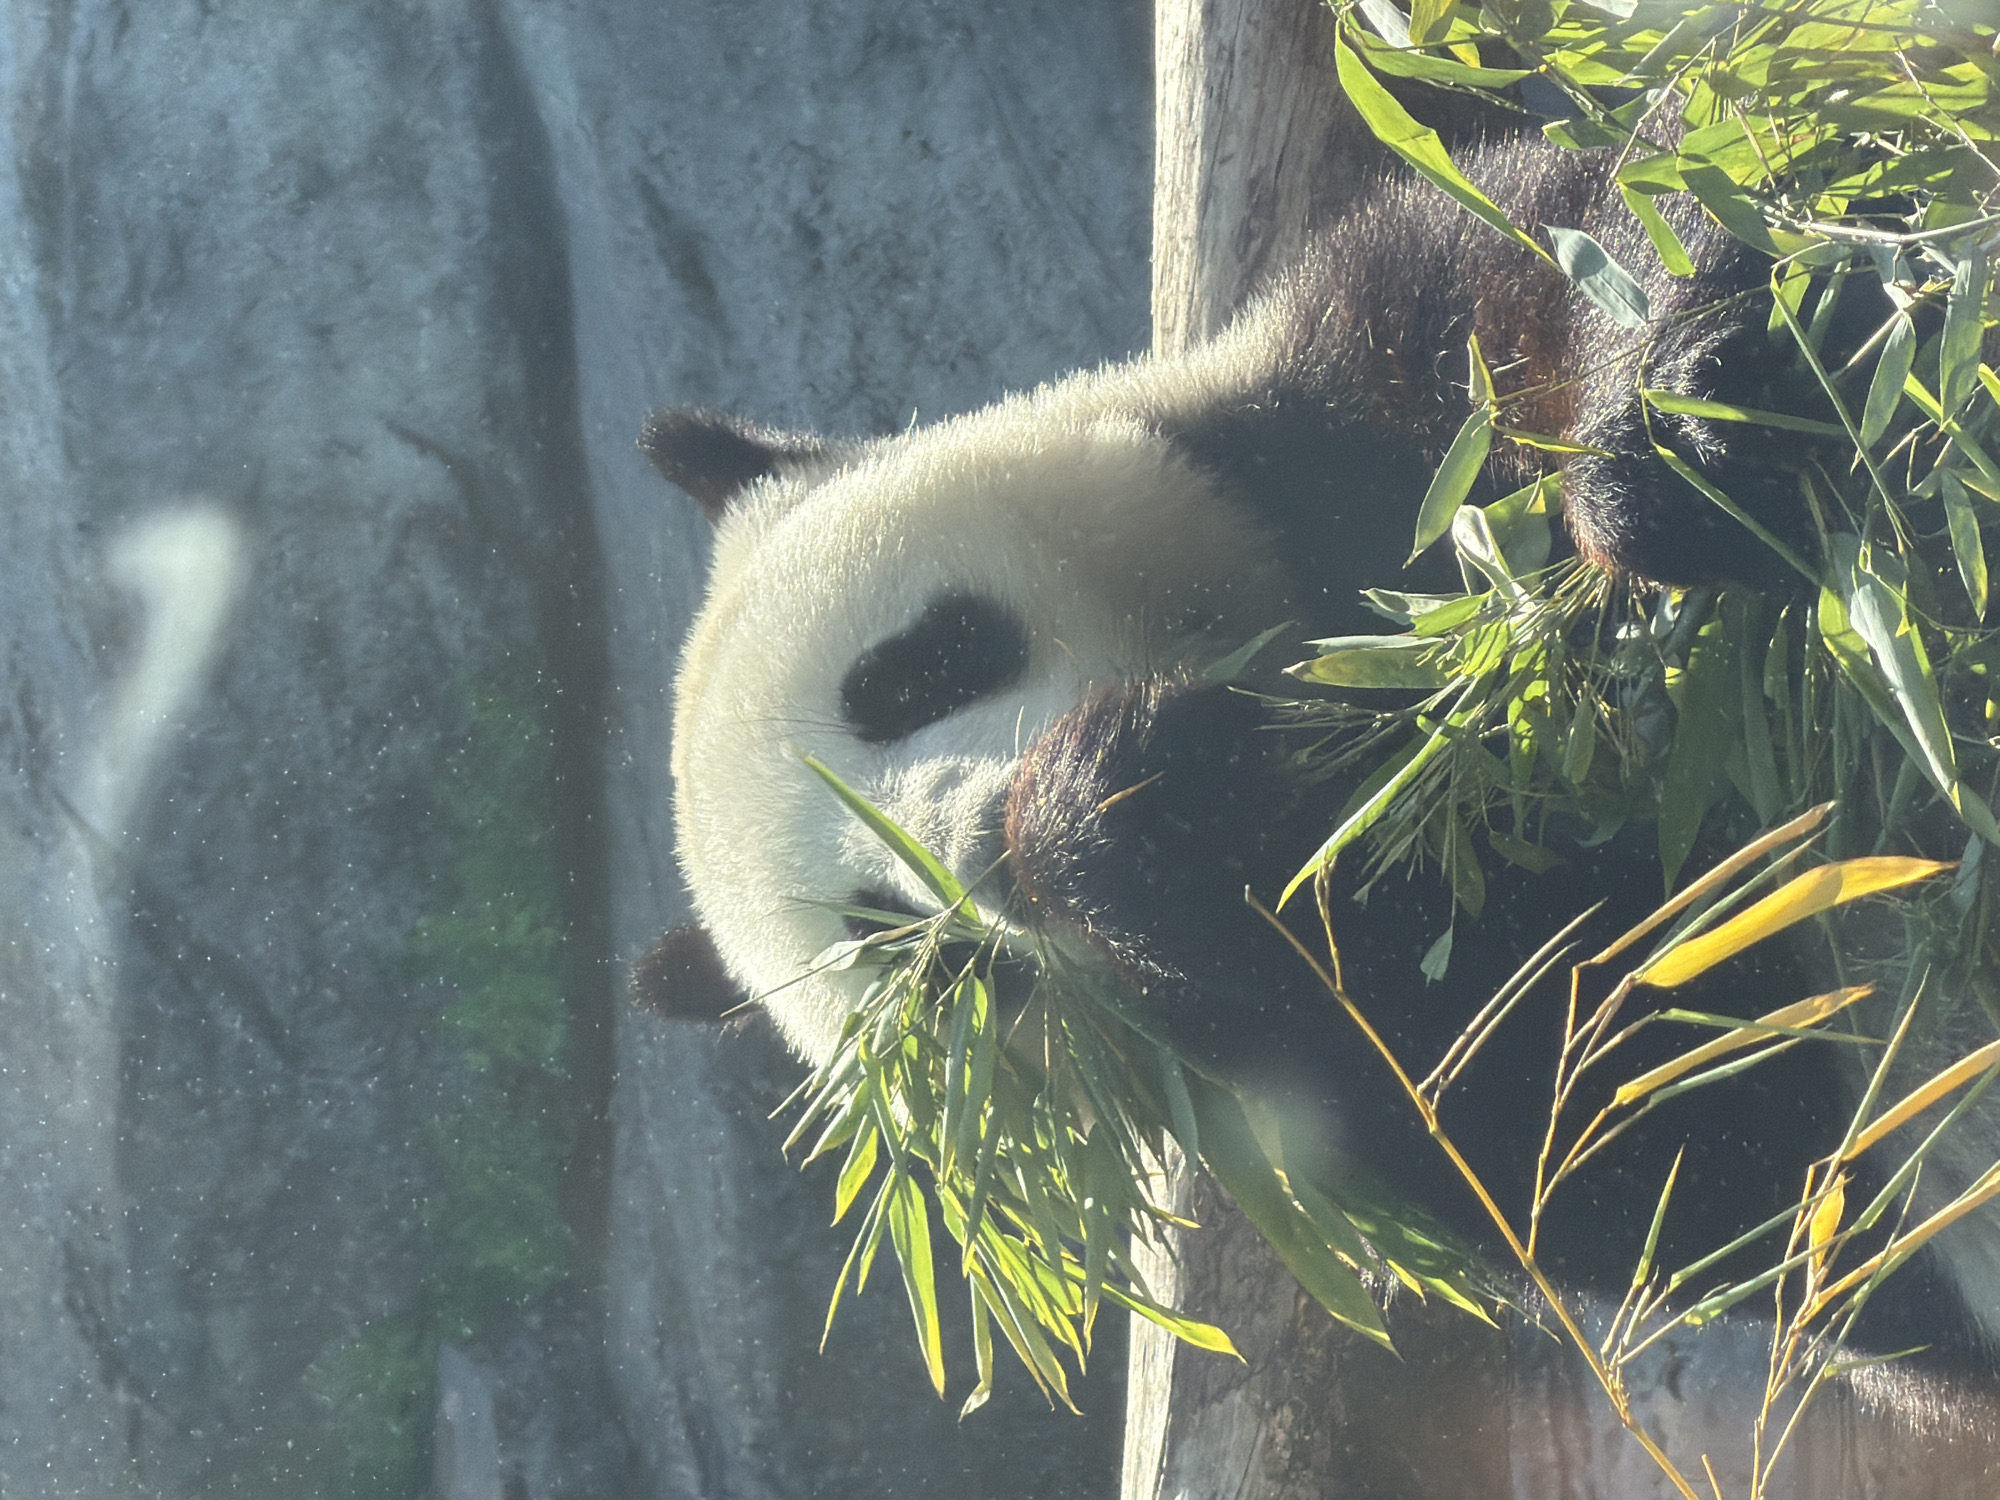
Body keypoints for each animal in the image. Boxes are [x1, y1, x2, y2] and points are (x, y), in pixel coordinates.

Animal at [638, 130, 2000, 1461]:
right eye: (917, 957)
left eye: (911, 670)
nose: (985, 841)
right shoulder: (1312, 1063)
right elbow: (1639, 1121)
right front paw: (1116, 809)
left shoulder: (1322, 420)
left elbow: (1573, 244)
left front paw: (1692, 430)